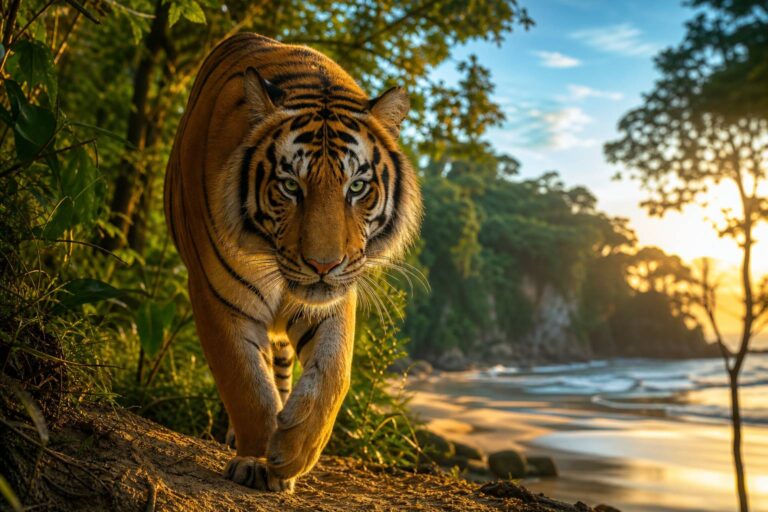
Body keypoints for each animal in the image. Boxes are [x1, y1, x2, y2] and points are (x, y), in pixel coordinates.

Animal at [163, 32, 422, 492]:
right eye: (289, 186)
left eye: (357, 187)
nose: (323, 265)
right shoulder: (216, 293)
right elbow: (246, 381)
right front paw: (257, 458)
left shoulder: (335, 300)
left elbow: (334, 374)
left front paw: (294, 450)